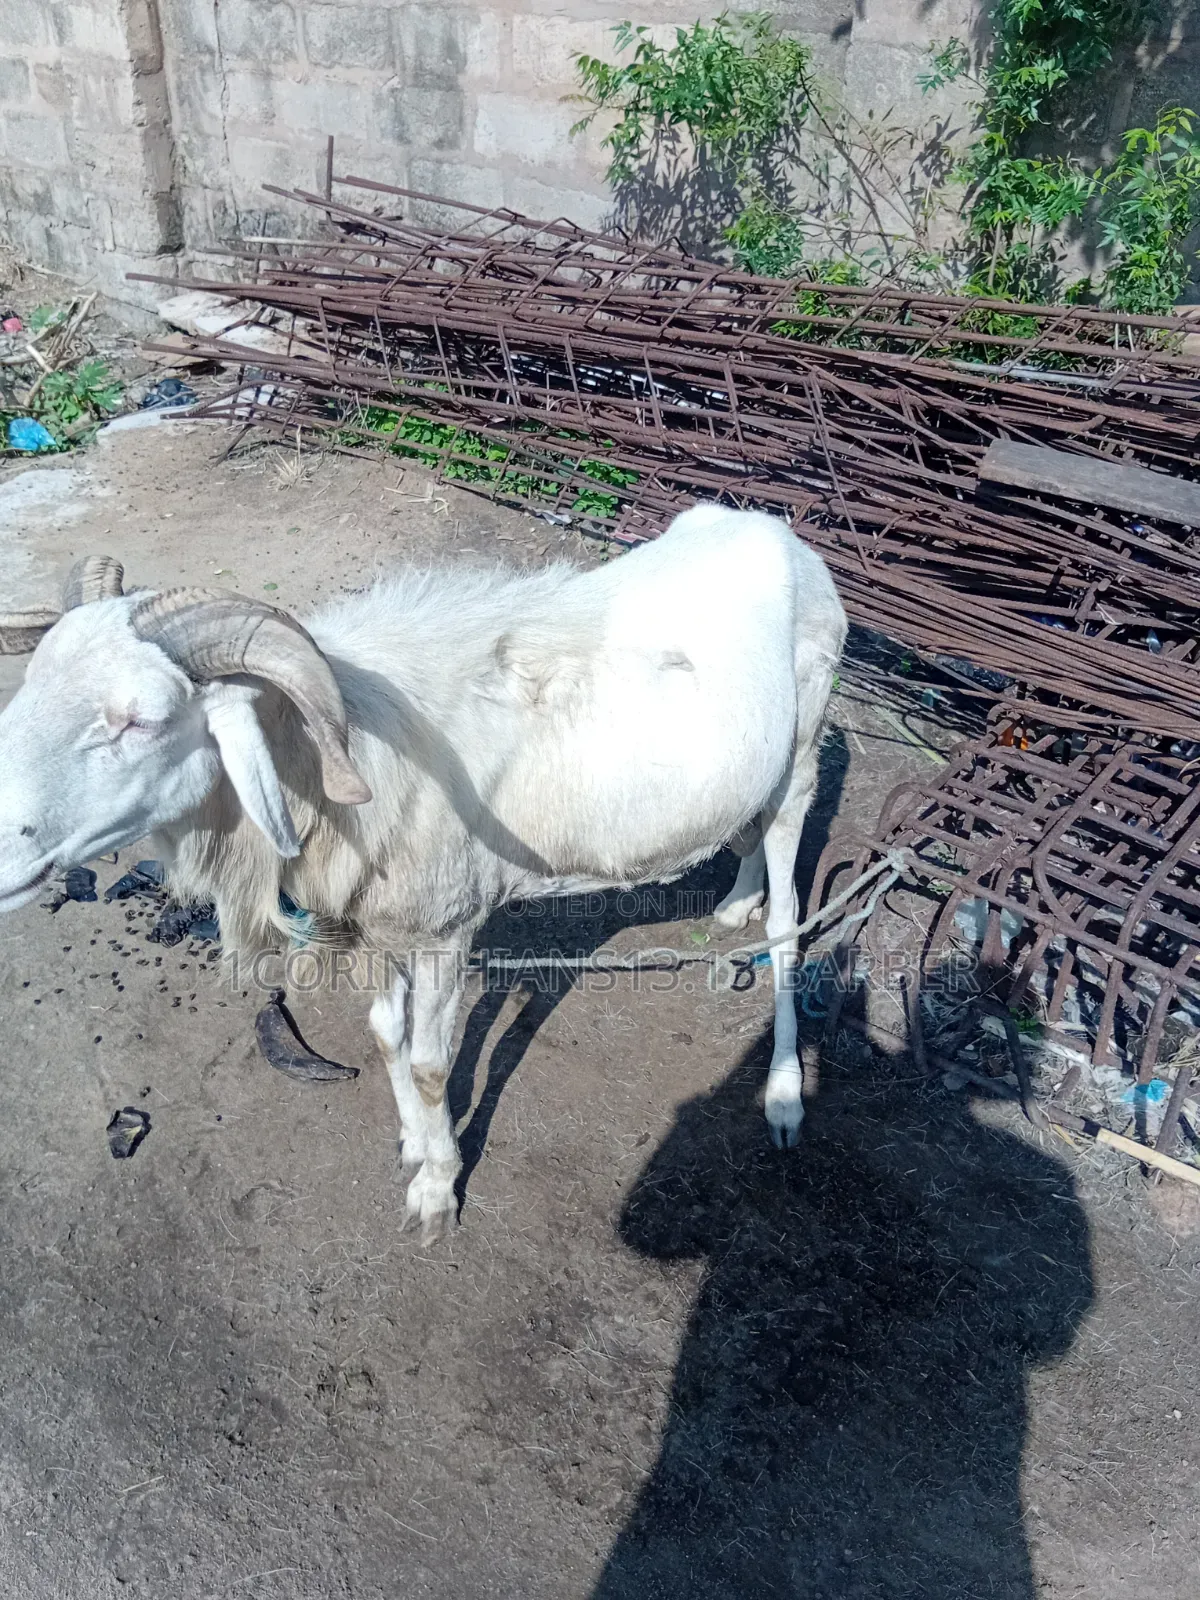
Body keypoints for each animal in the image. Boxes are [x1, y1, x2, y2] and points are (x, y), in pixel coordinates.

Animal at [0, 505, 846, 1240]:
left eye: (140, 719)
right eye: (31, 684)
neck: (331, 761)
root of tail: (772, 531)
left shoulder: (445, 930)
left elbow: (434, 1064)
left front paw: (437, 1192)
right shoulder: (380, 925)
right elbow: (384, 1036)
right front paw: (414, 1141)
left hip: (804, 754)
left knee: (788, 924)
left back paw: (782, 1096)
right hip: (758, 770)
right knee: (745, 831)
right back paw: (736, 900)